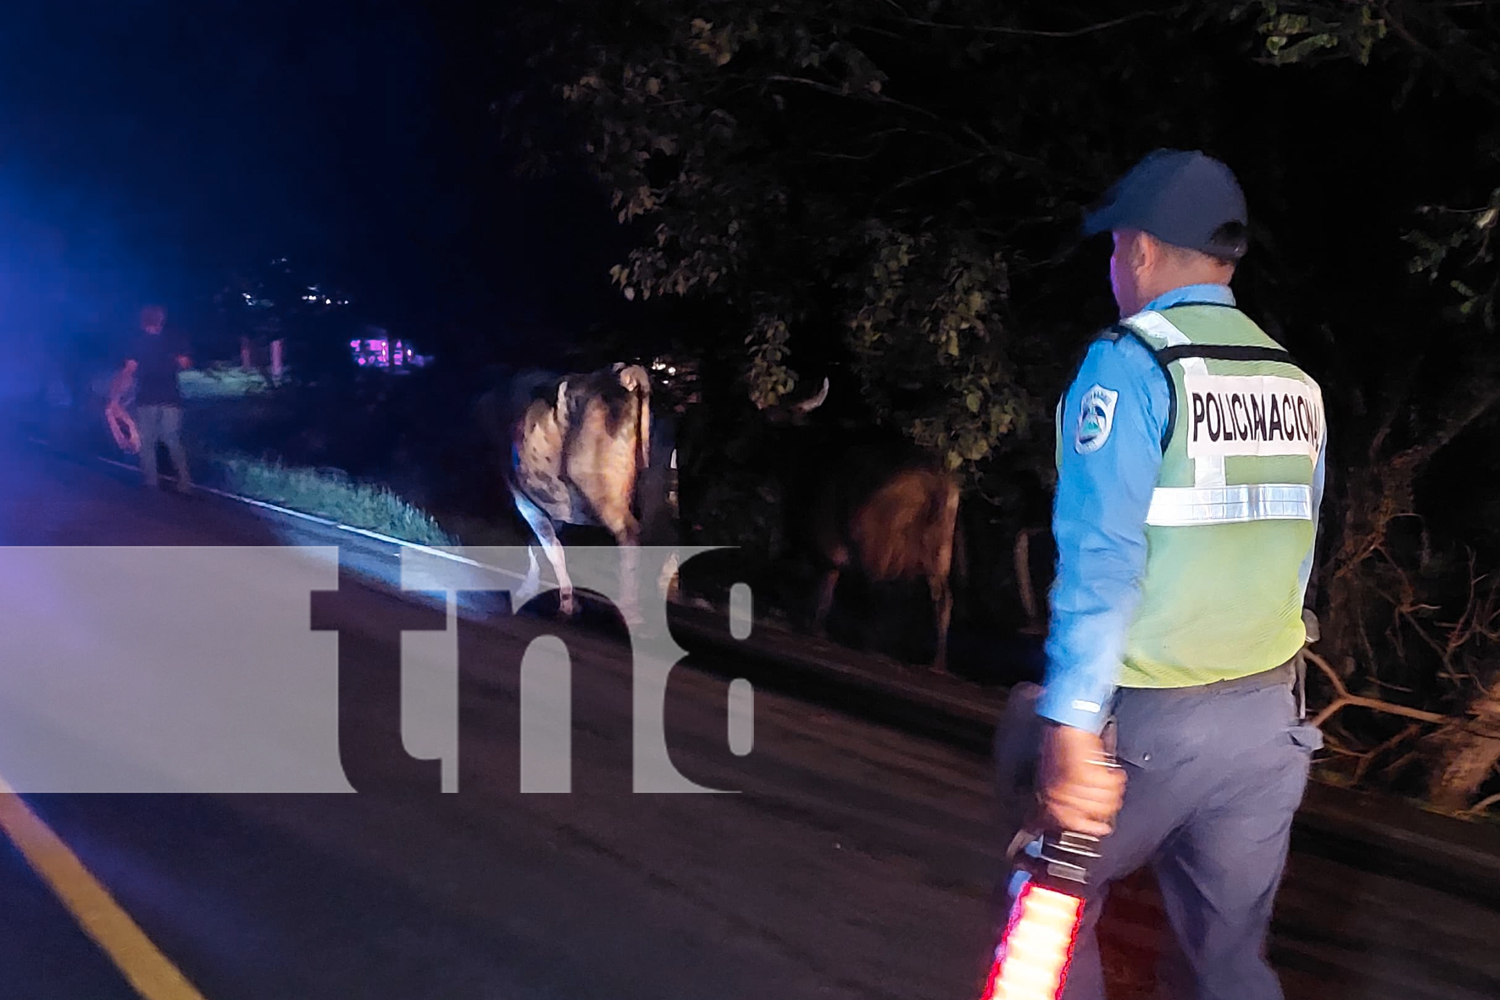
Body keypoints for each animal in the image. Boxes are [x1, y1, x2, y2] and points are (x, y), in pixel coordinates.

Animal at [474, 359, 681, 626]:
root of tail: (624, 374)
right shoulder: (553, 506)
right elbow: (542, 546)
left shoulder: (524, 499)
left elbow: (550, 549)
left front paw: (560, 603)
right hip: (658, 489)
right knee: (668, 542)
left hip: (601, 489)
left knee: (630, 535)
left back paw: (631, 613)